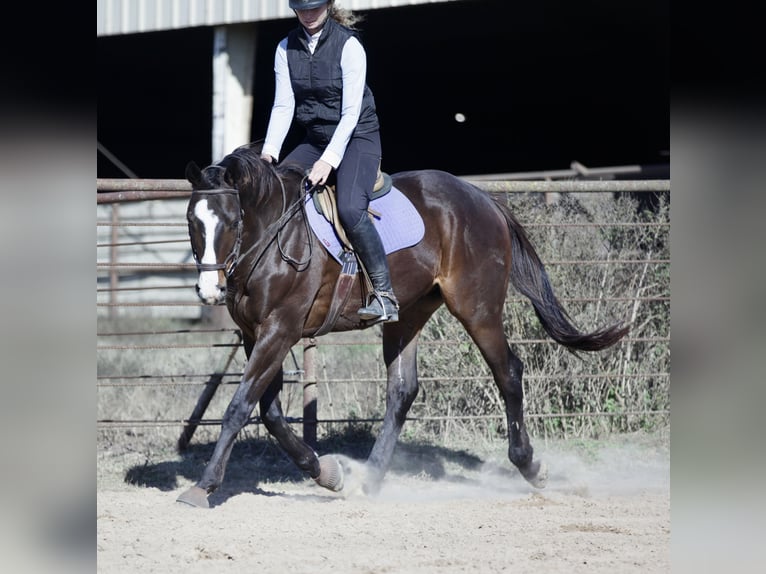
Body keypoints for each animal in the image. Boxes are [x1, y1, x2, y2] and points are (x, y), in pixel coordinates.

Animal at [177, 142, 629, 508]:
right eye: (192, 222)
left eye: (230, 221)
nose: (209, 289)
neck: (273, 238)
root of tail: (481, 198)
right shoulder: (255, 335)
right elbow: (267, 413)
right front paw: (327, 474)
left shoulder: (280, 329)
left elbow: (239, 407)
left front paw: (204, 486)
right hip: (407, 313)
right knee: (402, 390)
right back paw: (371, 478)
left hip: (477, 308)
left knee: (509, 373)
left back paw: (530, 466)